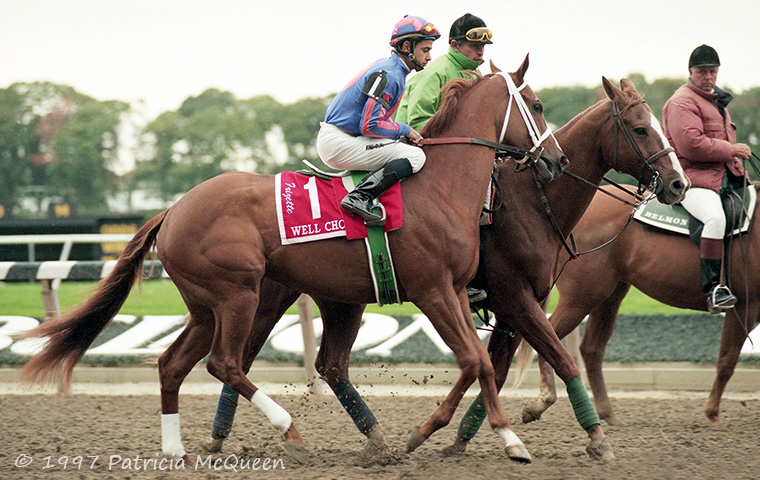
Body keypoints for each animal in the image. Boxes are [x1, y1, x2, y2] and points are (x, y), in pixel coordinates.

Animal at [17, 57, 568, 464]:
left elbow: (482, 363)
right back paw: (290, 431)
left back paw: (177, 451)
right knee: (224, 362)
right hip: (237, 293)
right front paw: (504, 440)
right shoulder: (432, 290)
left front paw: (484, 437)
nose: (556, 161)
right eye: (537, 105)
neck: (439, 185)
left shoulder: (454, 289)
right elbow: (477, 360)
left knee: (173, 364)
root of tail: (173, 209)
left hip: (206, 306)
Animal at [202, 76, 688, 462]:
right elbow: (554, 359)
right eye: (641, 128)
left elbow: (495, 367)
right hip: (262, 296)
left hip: (340, 299)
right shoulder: (510, 297)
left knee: (324, 365)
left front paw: (465, 437)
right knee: (239, 358)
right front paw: (592, 437)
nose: (678, 183)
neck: (533, 203)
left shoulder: (509, 307)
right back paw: (233, 435)